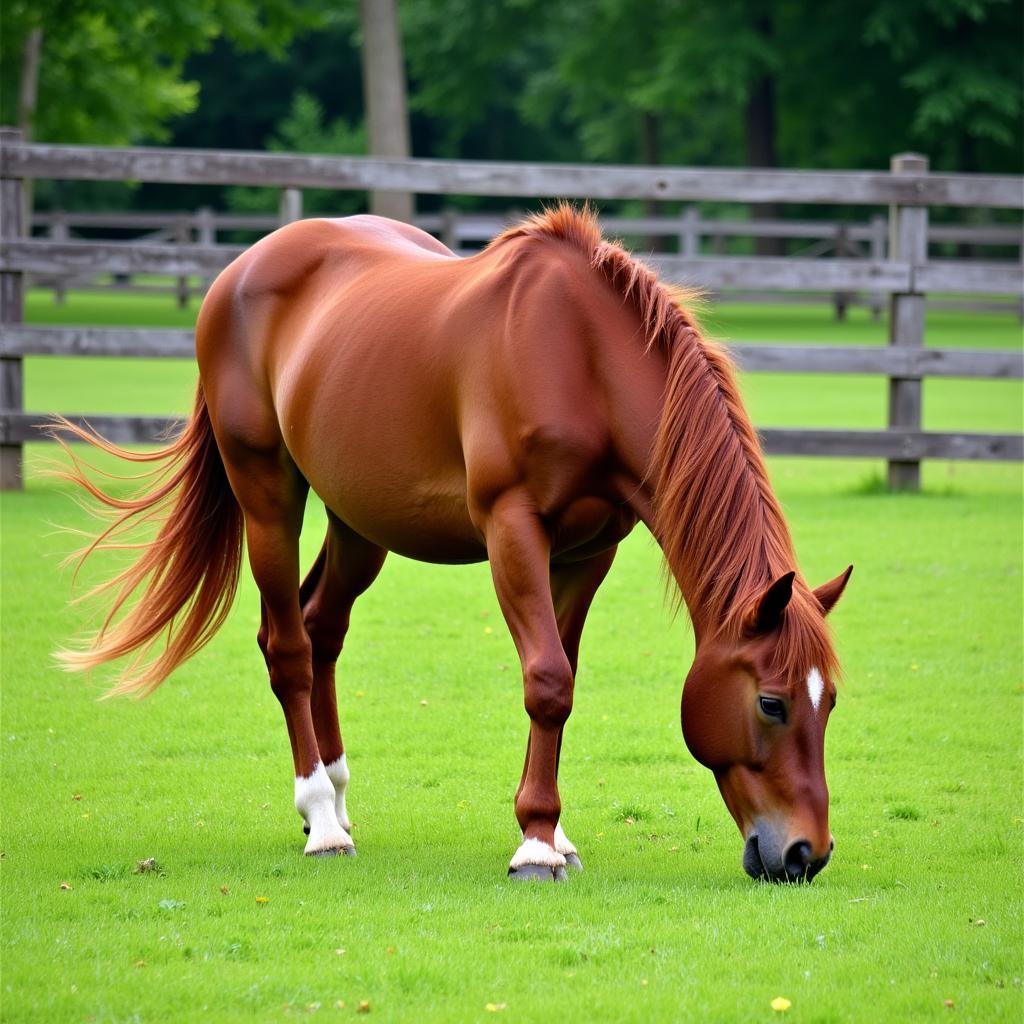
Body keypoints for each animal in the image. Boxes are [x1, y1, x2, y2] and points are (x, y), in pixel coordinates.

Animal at [58, 205, 856, 880]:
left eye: (830, 706)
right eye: (773, 704)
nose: (805, 854)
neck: (581, 356)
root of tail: (242, 268)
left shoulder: (588, 551)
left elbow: (563, 674)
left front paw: (553, 833)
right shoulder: (513, 530)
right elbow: (547, 680)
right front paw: (535, 845)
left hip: (358, 522)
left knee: (322, 628)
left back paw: (338, 798)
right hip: (267, 495)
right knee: (288, 647)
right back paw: (322, 821)